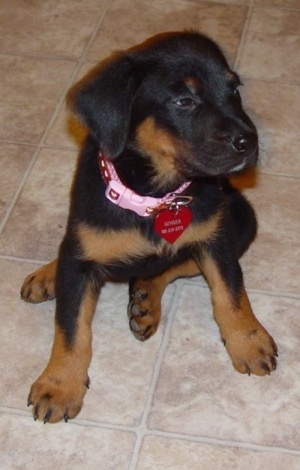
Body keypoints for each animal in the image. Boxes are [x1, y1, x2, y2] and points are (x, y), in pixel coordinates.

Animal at [21, 31, 276, 424]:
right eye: (184, 100)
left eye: (234, 90)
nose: (251, 143)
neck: (154, 199)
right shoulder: (81, 257)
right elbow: (71, 327)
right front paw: (59, 384)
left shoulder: (216, 239)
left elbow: (231, 294)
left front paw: (249, 341)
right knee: (68, 254)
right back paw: (49, 275)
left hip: (243, 219)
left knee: (172, 265)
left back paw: (145, 297)